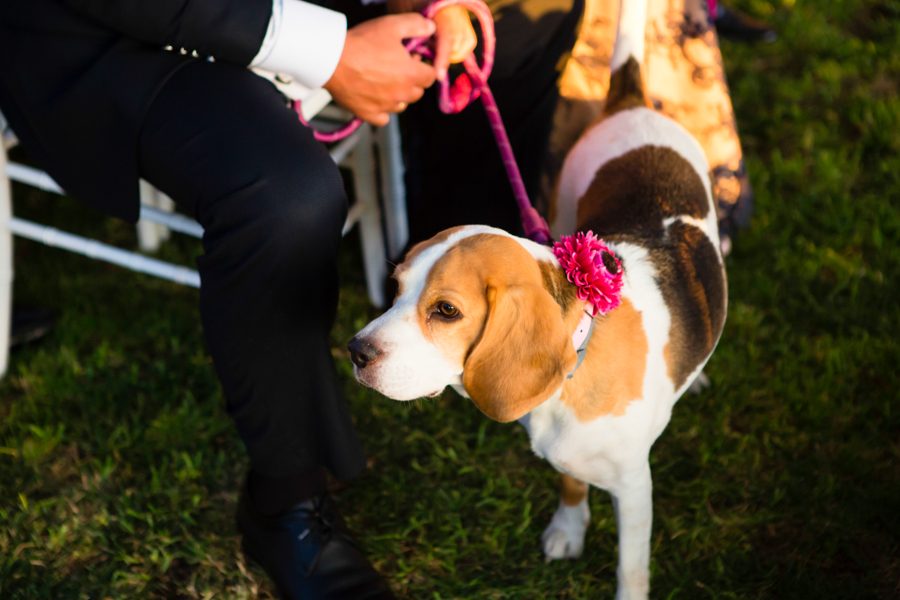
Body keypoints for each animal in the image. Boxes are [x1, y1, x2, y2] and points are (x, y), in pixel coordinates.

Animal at [348, 2, 728, 596]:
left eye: (446, 311)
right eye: (396, 287)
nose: (355, 352)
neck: (578, 355)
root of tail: (631, 102)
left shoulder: (634, 488)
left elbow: (631, 567)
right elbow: (571, 486)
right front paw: (569, 529)